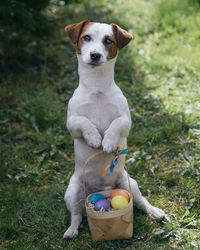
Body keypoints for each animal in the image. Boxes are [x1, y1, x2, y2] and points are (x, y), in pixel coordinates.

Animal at [63, 20, 165, 239]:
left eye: (108, 40)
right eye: (86, 37)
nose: (95, 55)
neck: (97, 88)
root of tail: (103, 189)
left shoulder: (126, 121)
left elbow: (115, 125)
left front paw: (108, 141)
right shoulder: (72, 124)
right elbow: (84, 122)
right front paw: (94, 138)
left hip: (129, 184)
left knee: (141, 202)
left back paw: (154, 211)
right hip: (73, 192)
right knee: (76, 215)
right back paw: (71, 230)